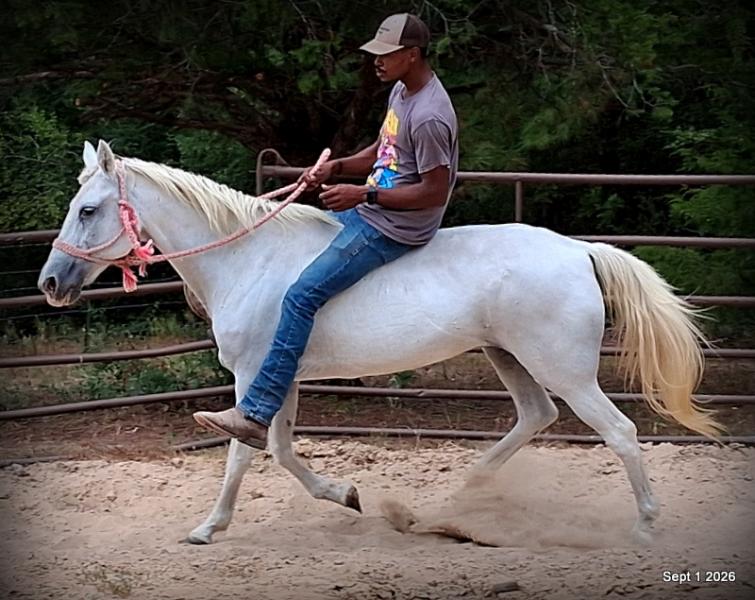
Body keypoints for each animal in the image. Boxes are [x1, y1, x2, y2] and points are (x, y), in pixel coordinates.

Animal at [39, 140, 721, 545]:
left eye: (90, 210)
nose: (50, 283)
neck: (247, 259)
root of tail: (580, 250)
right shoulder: (282, 377)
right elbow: (278, 451)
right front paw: (345, 496)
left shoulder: (256, 374)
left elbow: (241, 452)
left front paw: (208, 527)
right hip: (510, 358)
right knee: (535, 417)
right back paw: (454, 499)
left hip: (565, 369)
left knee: (620, 433)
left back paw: (644, 528)